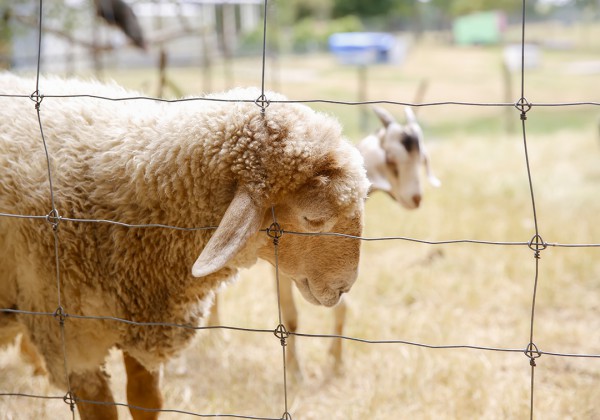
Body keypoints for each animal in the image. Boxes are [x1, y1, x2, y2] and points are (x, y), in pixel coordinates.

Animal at [0, 74, 370, 418]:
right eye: (314, 219)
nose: (344, 287)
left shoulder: (144, 323)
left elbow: (146, 402)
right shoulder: (73, 341)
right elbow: (104, 411)